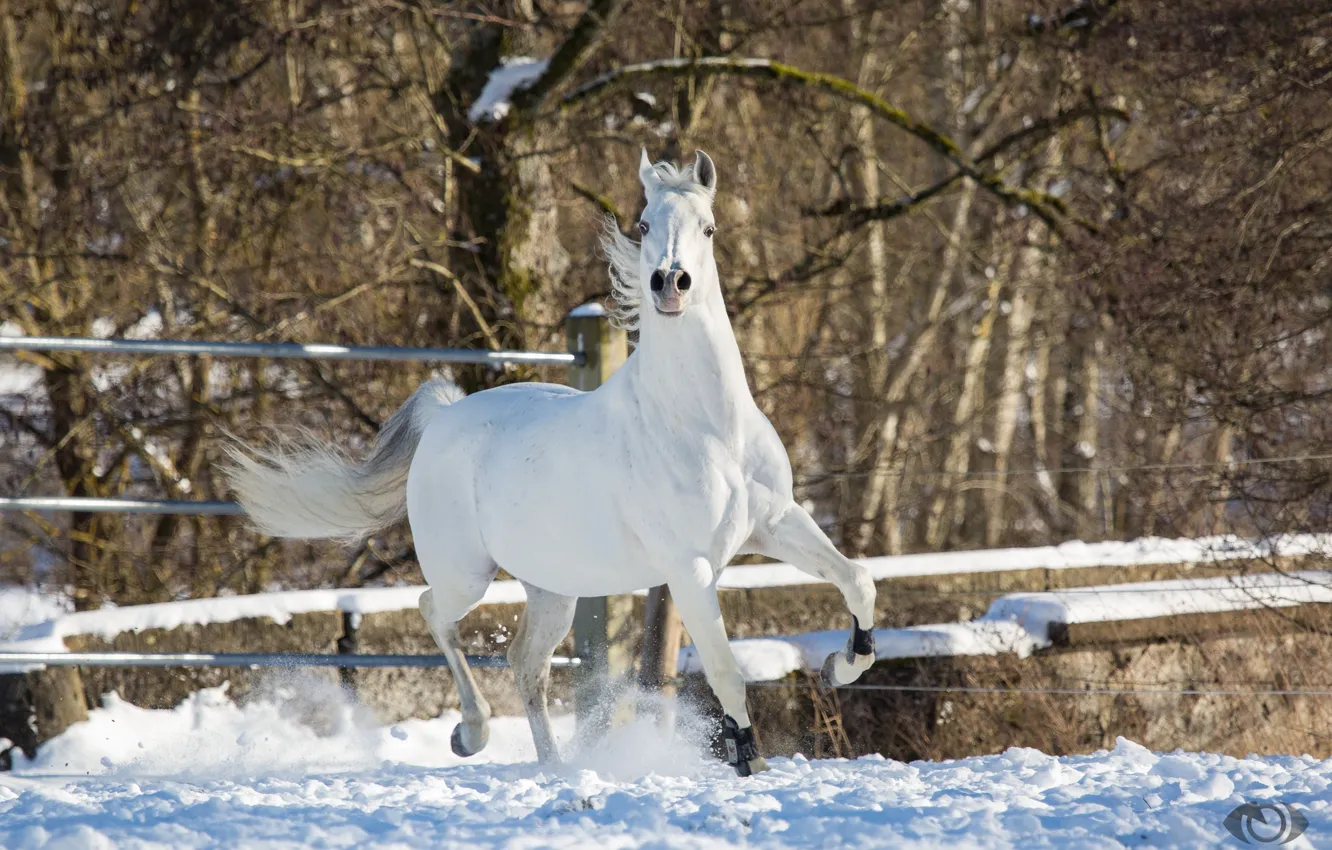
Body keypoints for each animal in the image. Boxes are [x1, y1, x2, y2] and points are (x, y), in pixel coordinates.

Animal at [223, 150, 878, 777]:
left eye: (710, 227)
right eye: (645, 224)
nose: (671, 283)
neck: (708, 426)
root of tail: (446, 417)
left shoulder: (776, 523)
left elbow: (858, 579)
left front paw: (841, 664)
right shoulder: (689, 567)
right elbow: (724, 670)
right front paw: (749, 758)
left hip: (553, 587)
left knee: (525, 662)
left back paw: (554, 765)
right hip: (467, 573)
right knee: (435, 612)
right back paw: (472, 734)